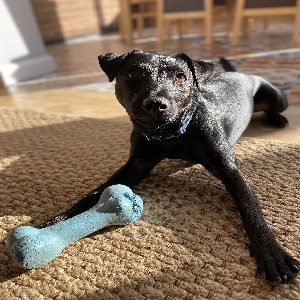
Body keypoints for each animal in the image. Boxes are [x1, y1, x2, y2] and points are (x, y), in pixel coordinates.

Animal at [40, 49, 300, 284]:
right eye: (133, 73)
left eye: (180, 77)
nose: (156, 103)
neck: (171, 134)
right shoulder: (136, 165)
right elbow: (92, 194)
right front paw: (57, 222)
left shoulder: (229, 169)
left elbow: (250, 208)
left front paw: (271, 253)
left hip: (277, 98)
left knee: (273, 107)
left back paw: (278, 118)